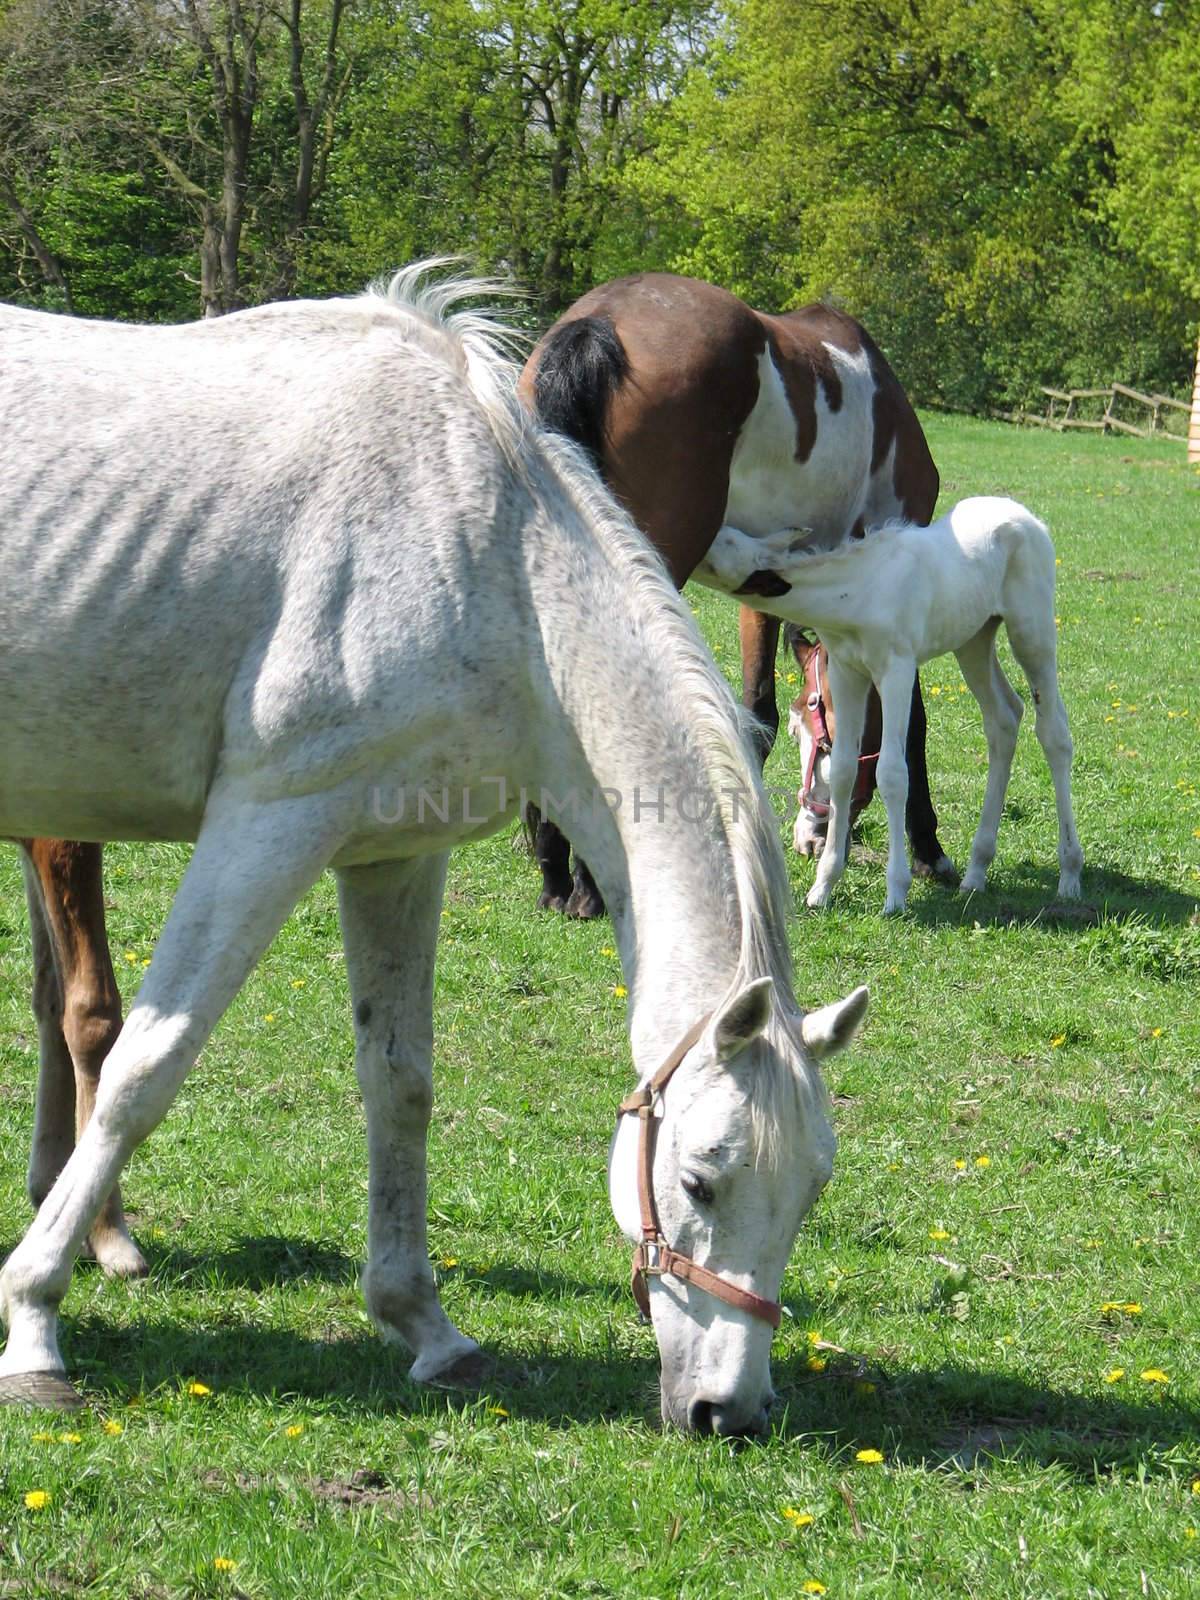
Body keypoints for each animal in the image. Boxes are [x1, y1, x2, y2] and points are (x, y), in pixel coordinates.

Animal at [0, 265, 870, 1440]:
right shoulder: (269, 823)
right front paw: (35, 1319)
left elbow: (399, 1082)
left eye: (810, 1189)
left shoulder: (393, 856)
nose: (726, 1411)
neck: (487, 550)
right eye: (699, 1180)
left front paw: (425, 1326)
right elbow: (146, 1066)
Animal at [518, 268, 960, 908]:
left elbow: (757, 715)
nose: (812, 835)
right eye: (826, 738)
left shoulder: (769, 584)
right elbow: (914, 724)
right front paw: (929, 850)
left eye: (815, 726)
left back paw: (557, 870)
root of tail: (599, 321)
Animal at [700, 499, 1088, 921]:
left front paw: (896, 892)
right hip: (973, 638)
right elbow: (843, 771)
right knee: (1003, 717)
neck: (857, 590)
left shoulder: (897, 670)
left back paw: (1069, 874)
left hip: (1031, 632)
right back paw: (976, 871)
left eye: (728, 540)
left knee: (1054, 733)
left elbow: (891, 773)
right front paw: (823, 887)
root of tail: (1024, 515)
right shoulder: (846, 671)